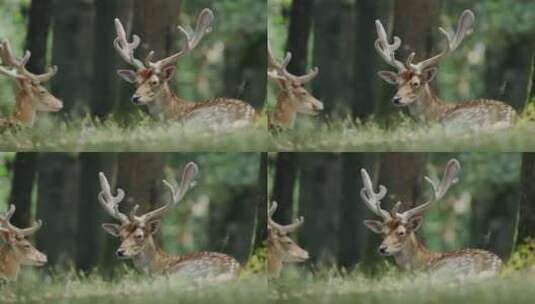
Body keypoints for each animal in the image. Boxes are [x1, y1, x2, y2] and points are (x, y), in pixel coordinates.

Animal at [98, 163, 241, 282]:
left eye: (139, 235)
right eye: (120, 236)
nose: (120, 252)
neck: (158, 265)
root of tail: (234, 272)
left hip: (180, 273)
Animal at [114, 8, 256, 130]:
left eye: (154, 82)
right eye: (136, 82)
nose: (135, 98)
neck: (173, 112)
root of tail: (250, 119)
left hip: (199, 120)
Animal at [374, 10, 516, 129]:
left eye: (415, 83)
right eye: (397, 83)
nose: (396, 99)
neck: (434, 113)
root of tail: (511, 120)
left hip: (458, 121)